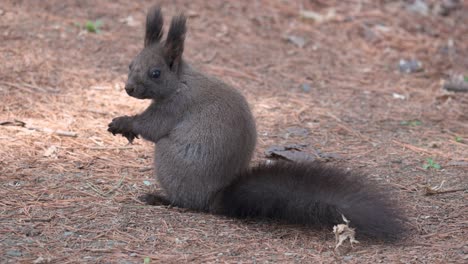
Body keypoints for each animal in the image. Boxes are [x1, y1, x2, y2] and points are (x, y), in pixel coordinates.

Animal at [108, 5, 404, 241]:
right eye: (130, 64)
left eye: (155, 73)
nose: (129, 88)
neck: (180, 82)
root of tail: (214, 198)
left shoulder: (175, 107)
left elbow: (152, 127)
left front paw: (123, 123)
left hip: (169, 161)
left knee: (186, 203)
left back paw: (161, 199)